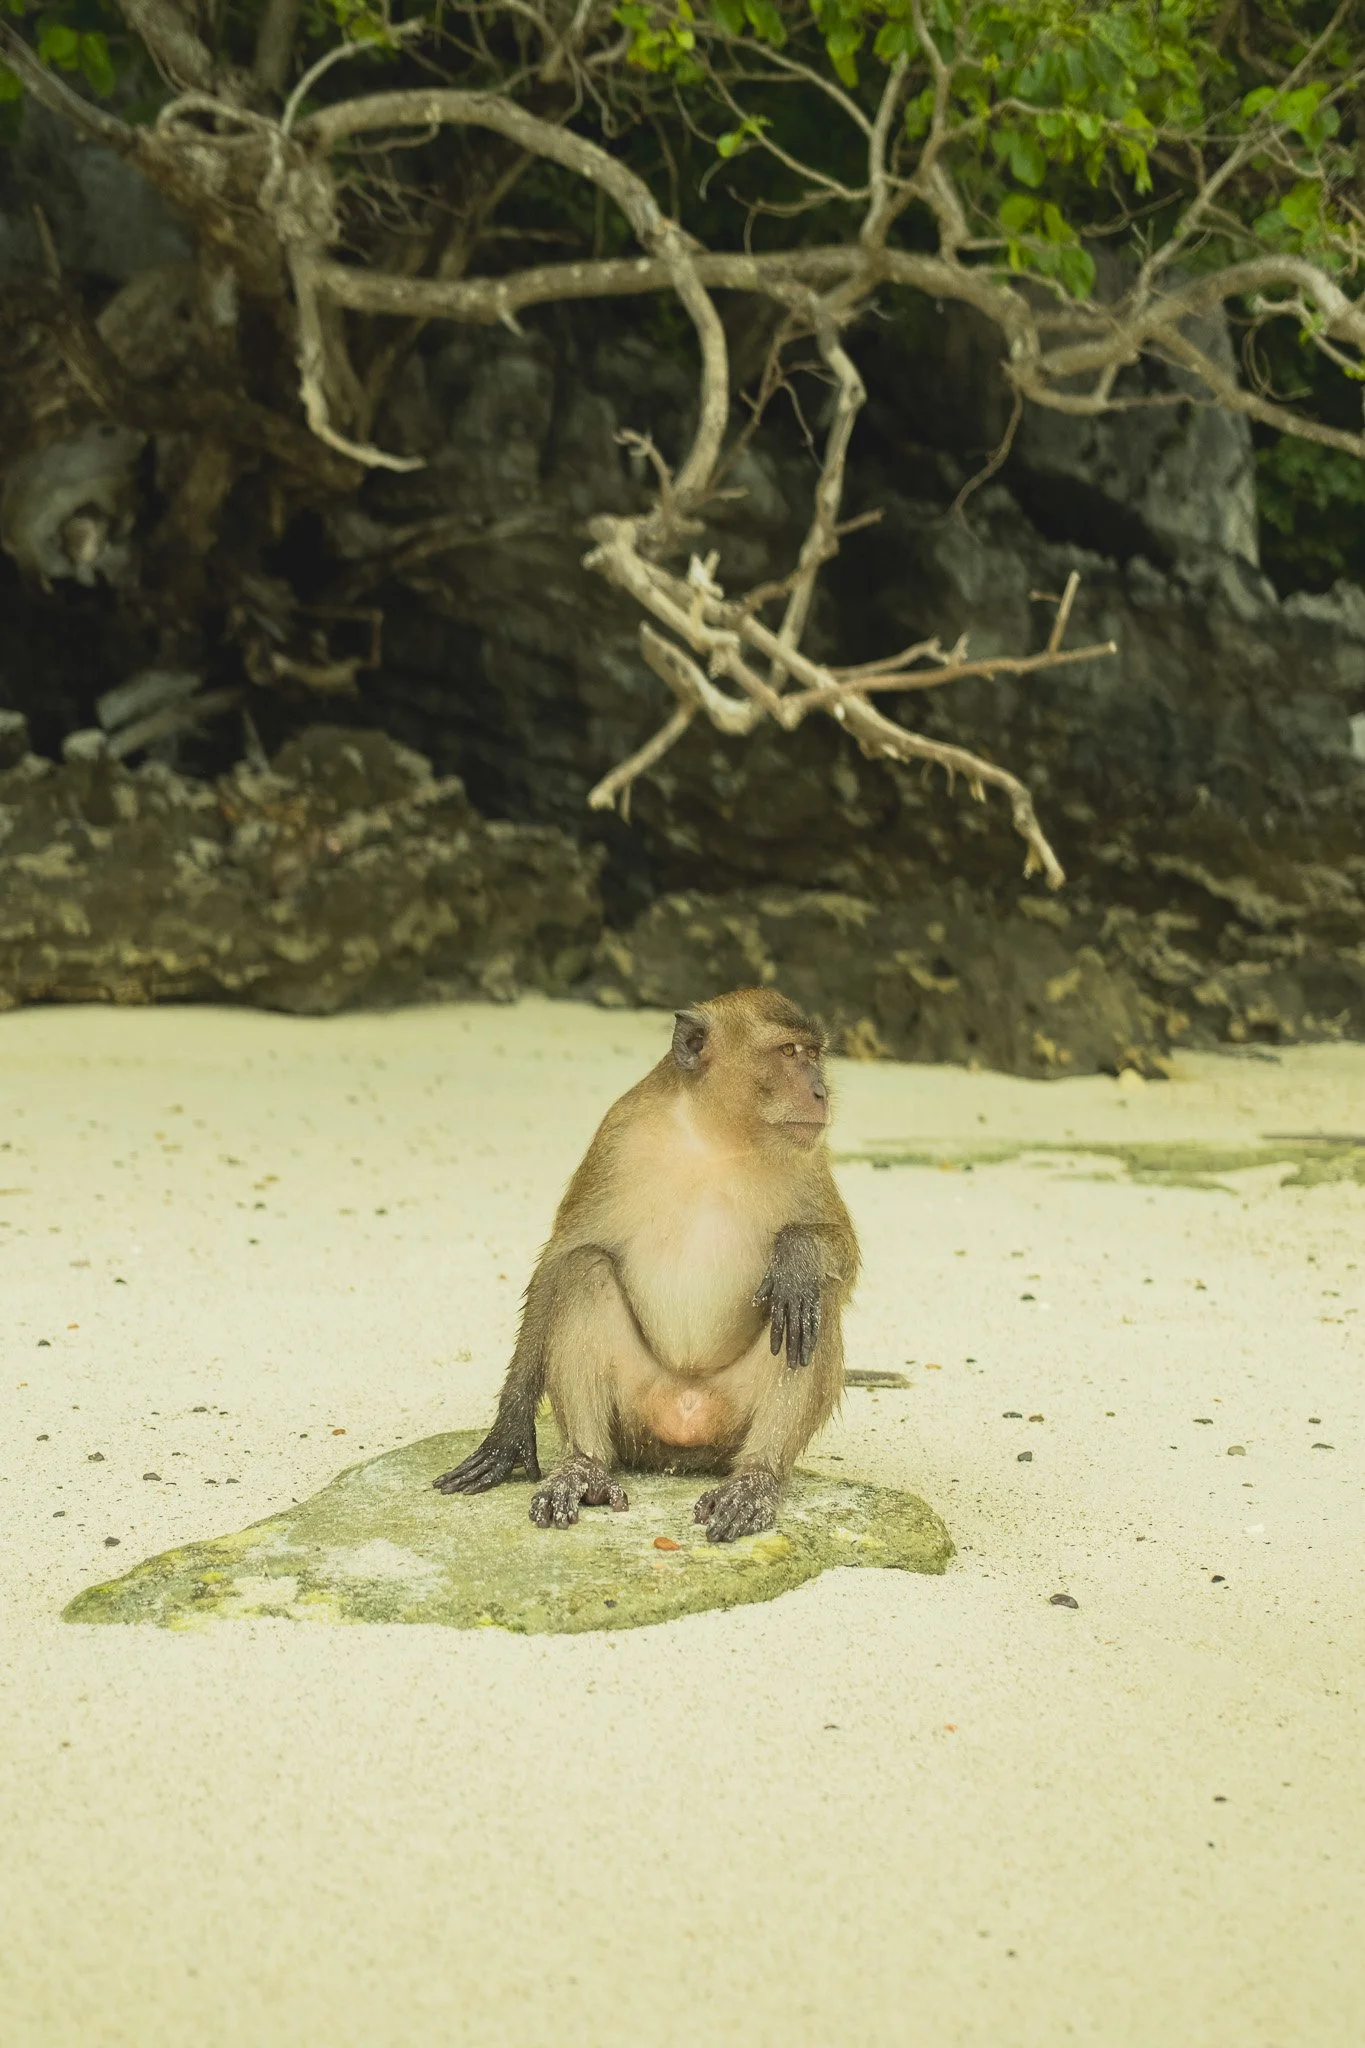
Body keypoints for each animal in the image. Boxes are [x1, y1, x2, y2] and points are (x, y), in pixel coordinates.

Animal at [433, 987, 859, 1542]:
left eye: (814, 1054)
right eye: (788, 1052)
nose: (820, 1093)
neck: (716, 1137)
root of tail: (683, 1428)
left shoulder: (809, 1154)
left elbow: (841, 1256)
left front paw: (798, 1253)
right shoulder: (618, 1136)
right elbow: (562, 1256)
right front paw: (510, 1428)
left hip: (729, 1423)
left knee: (811, 1301)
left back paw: (756, 1481)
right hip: (636, 1411)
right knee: (586, 1270)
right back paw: (583, 1467)